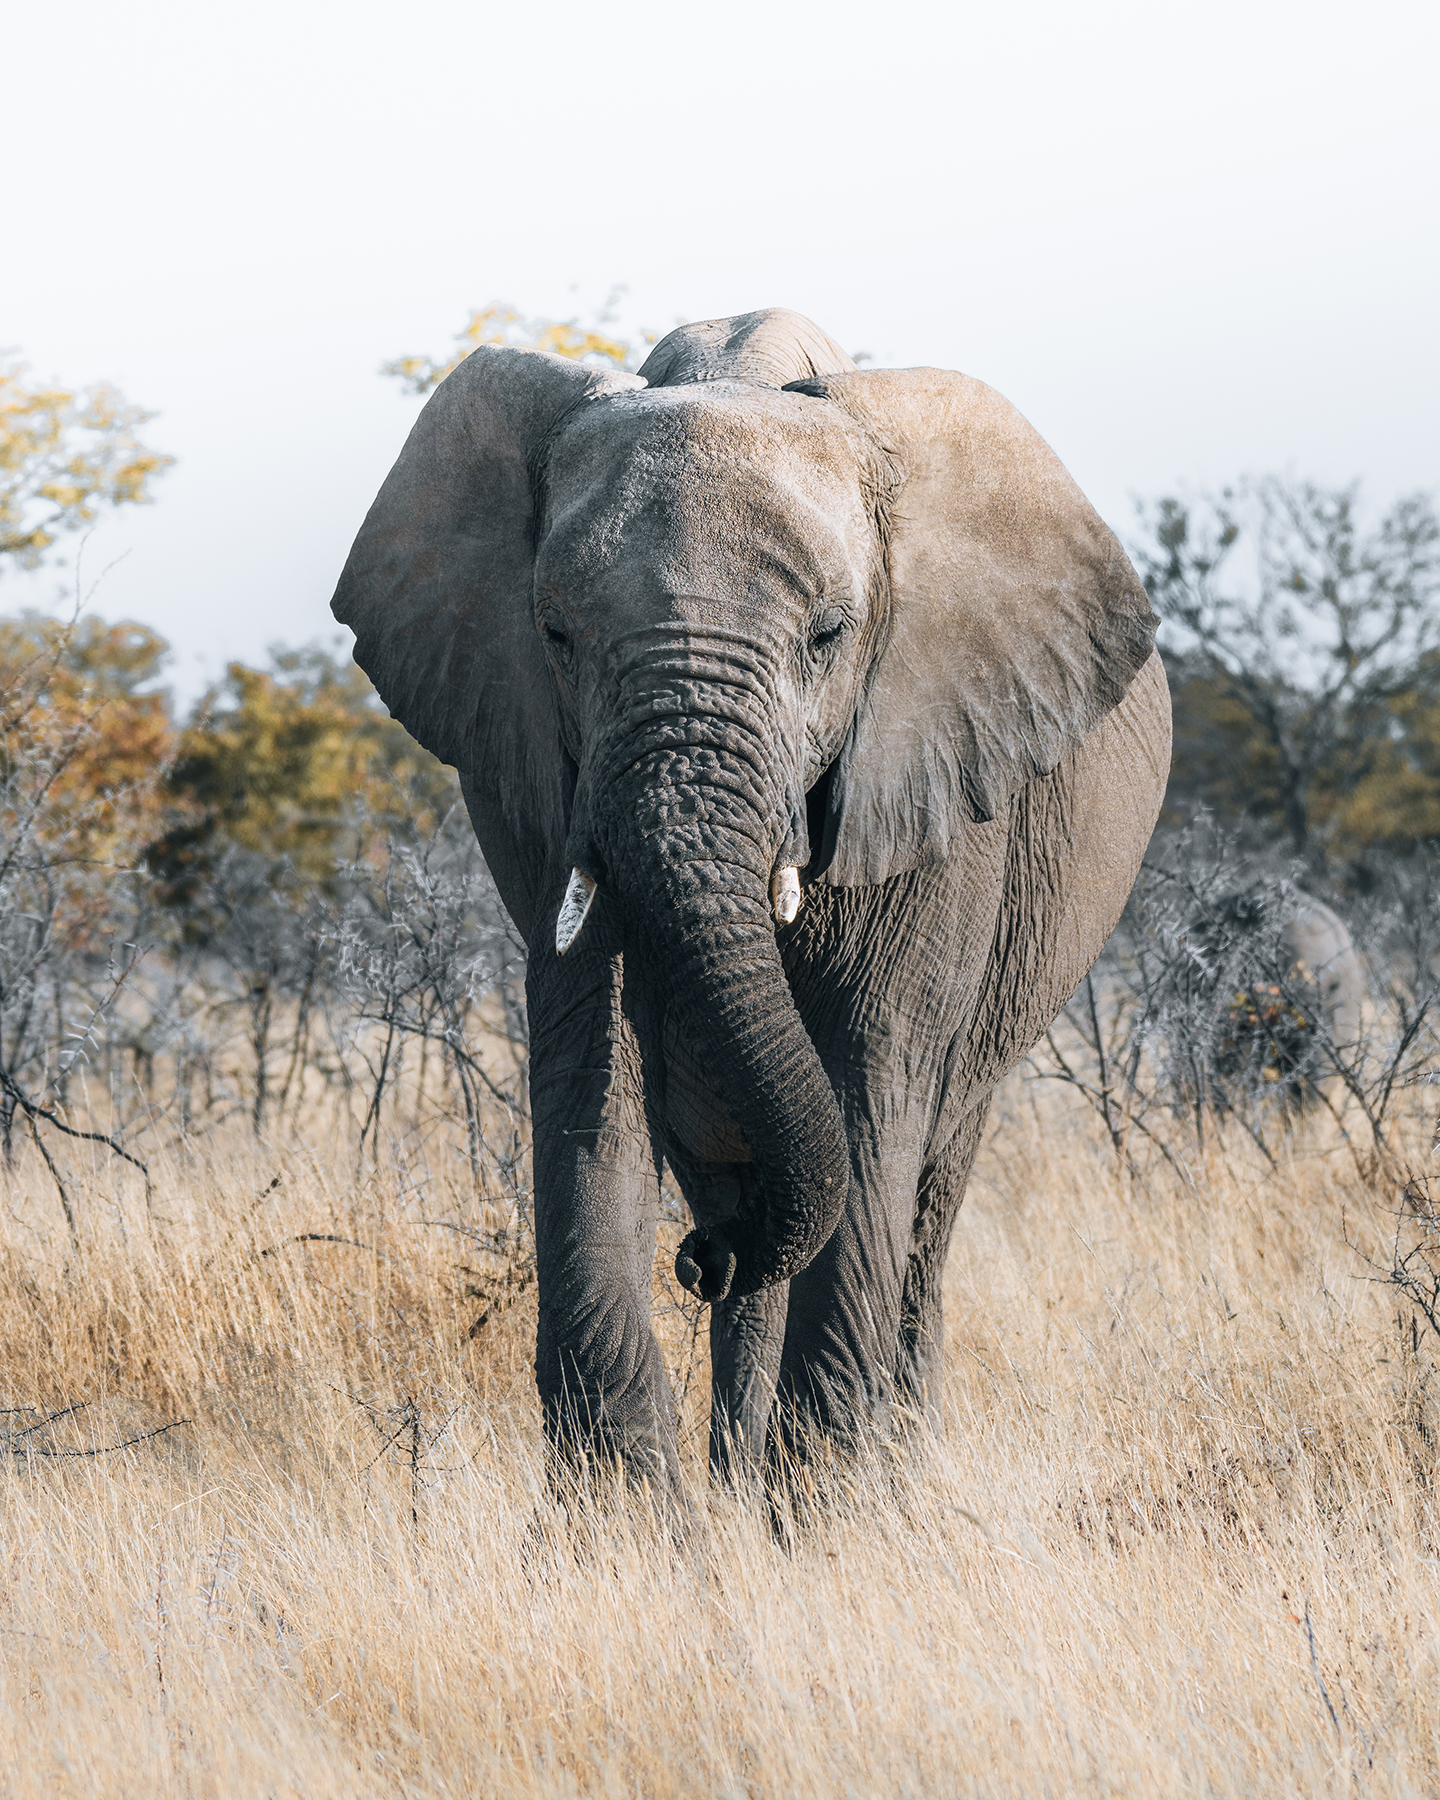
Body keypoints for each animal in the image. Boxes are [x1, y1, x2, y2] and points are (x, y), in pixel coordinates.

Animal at [331, 313, 1173, 1504]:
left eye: (829, 636)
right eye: (554, 634)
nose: (701, 1260)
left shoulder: (930, 765)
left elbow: (870, 1087)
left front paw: (826, 1515)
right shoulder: (545, 788)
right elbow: (592, 1073)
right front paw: (627, 1524)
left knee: (925, 1185)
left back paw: (884, 1460)